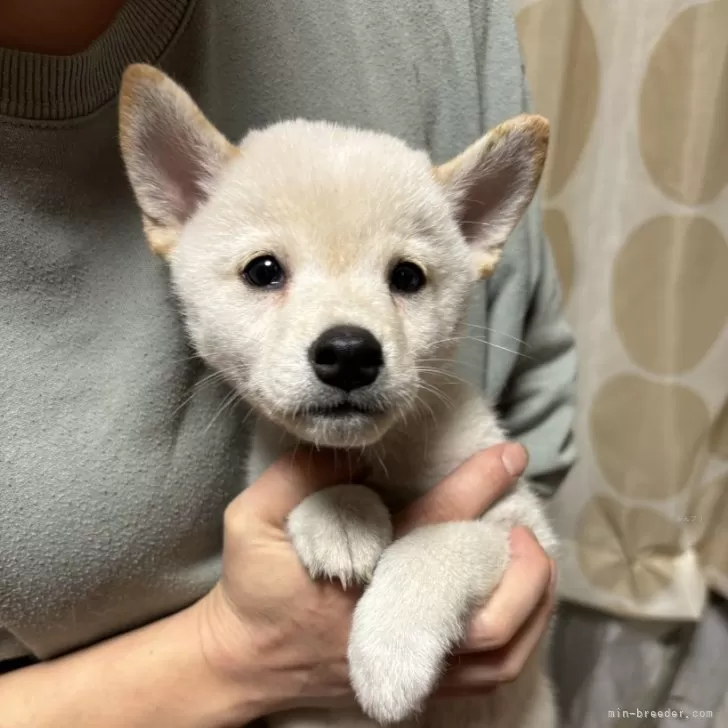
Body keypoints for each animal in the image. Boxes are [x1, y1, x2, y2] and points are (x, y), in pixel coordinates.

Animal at [121, 64, 556, 728]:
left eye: (407, 276)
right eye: (263, 270)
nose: (350, 352)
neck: (382, 458)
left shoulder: (524, 528)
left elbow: (439, 541)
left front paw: (391, 648)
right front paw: (341, 512)